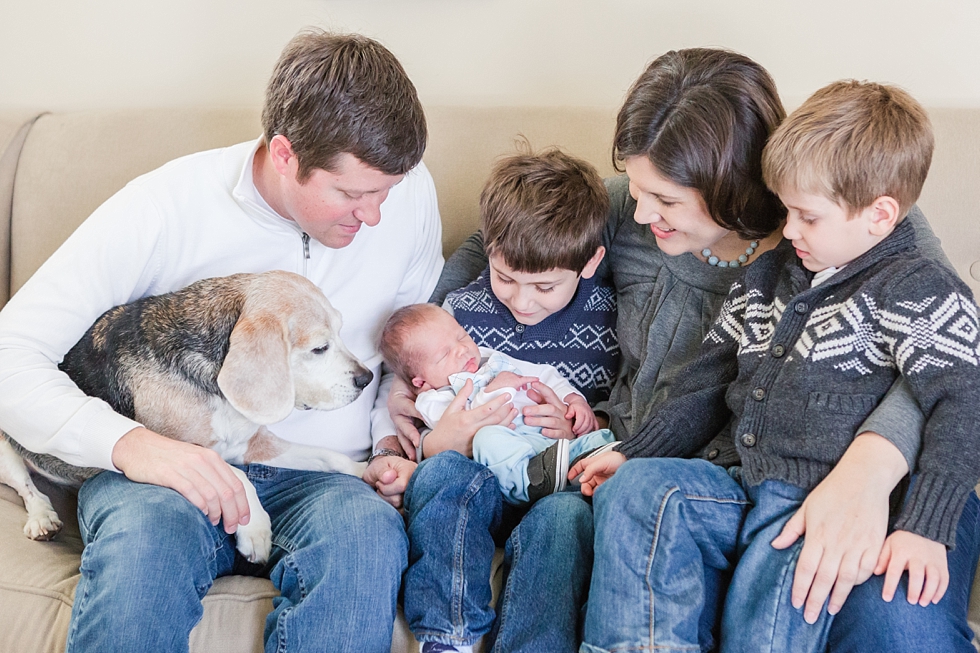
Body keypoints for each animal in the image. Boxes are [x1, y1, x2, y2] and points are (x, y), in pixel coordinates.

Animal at [0, 268, 374, 564]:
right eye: (319, 348)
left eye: (341, 331)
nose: (367, 379)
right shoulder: (176, 449)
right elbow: (236, 476)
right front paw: (255, 529)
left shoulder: (253, 444)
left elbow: (331, 457)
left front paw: (367, 470)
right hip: (6, 453)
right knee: (27, 488)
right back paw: (42, 519)